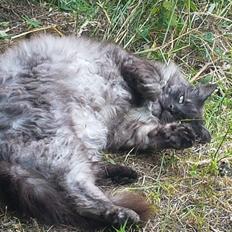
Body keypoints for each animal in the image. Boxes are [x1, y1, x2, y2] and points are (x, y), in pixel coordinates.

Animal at [0, 35, 217, 230]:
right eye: (181, 99)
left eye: (184, 118)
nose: (171, 109)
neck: (142, 108)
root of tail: (7, 160)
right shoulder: (124, 59)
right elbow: (151, 79)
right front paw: (154, 91)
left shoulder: (125, 130)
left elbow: (152, 135)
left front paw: (179, 136)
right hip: (61, 142)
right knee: (79, 189)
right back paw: (122, 210)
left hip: (69, 144)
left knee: (83, 187)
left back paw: (123, 195)